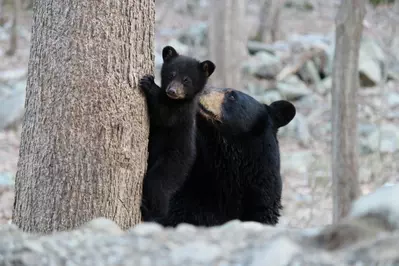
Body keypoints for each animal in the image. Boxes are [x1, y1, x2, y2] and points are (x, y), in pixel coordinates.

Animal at [140, 45, 216, 220]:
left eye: (186, 80)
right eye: (172, 74)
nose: (172, 91)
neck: (174, 101)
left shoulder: (182, 113)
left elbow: (164, 116)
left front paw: (149, 84)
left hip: (173, 163)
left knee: (157, 185)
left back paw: (151, 212)